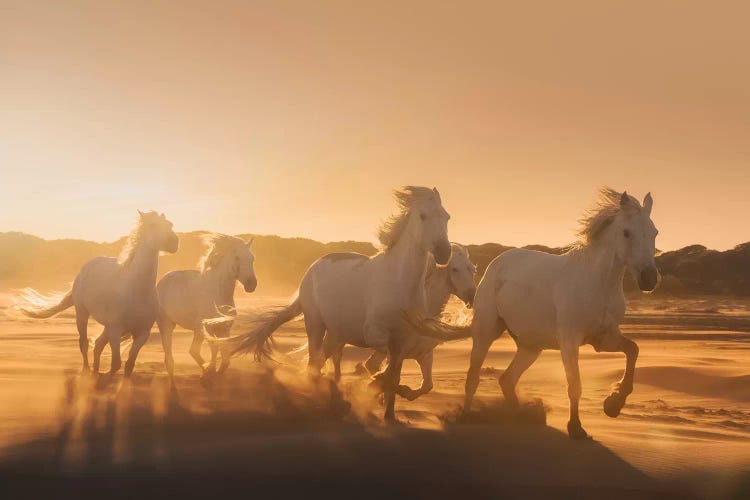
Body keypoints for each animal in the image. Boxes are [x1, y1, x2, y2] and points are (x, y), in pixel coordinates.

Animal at [15, 210, 180, 376]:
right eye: (153, 225)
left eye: (170, 224)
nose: (174, 242)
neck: (137, 290)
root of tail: (86, 267)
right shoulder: (115, 330)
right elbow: (116, 363)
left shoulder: (142, 334)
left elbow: (128, 365)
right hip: (82, 313)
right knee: (84, 342)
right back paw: (87, 372)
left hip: (107, 326)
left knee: (99, 345)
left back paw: (94, 371)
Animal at [157, 234, 258, 378]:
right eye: (237, 257)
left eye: (252, 258)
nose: (251, 285)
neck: (218, 294)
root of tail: (163, 280)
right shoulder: (209, 329)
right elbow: (214, 349)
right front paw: (209, 372)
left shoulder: (224, 329)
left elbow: (225, 357)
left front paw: (213, 372)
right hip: (167, 325)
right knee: (171, 358)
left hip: (196, 331)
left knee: (192, 351)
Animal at [223, 186, 452, 420]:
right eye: (423, 216)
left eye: (446, 217)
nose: (445, 253)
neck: (399, 282)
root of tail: (311, 269)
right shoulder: (375, 333)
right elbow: (382, 365)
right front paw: (372, 381)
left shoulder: (404, 340)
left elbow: (394, 374)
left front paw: (389, 411)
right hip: (315, 325)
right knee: (314, 361)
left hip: (335, 332)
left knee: (323, 359)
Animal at [408, 189, 660, 440]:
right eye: (627, 233)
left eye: (654, 232)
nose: (649, 279)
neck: (598, 283)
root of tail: (496, 263)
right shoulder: (570, 341)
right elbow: (575, 384)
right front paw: (576, 427)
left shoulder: (604, 338)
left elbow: (633, 351)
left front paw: (613, 405)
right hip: (486, 333)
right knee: (473, 378)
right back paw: (466, 416)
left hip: (531, 347)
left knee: (507, 380)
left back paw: (522, 416)